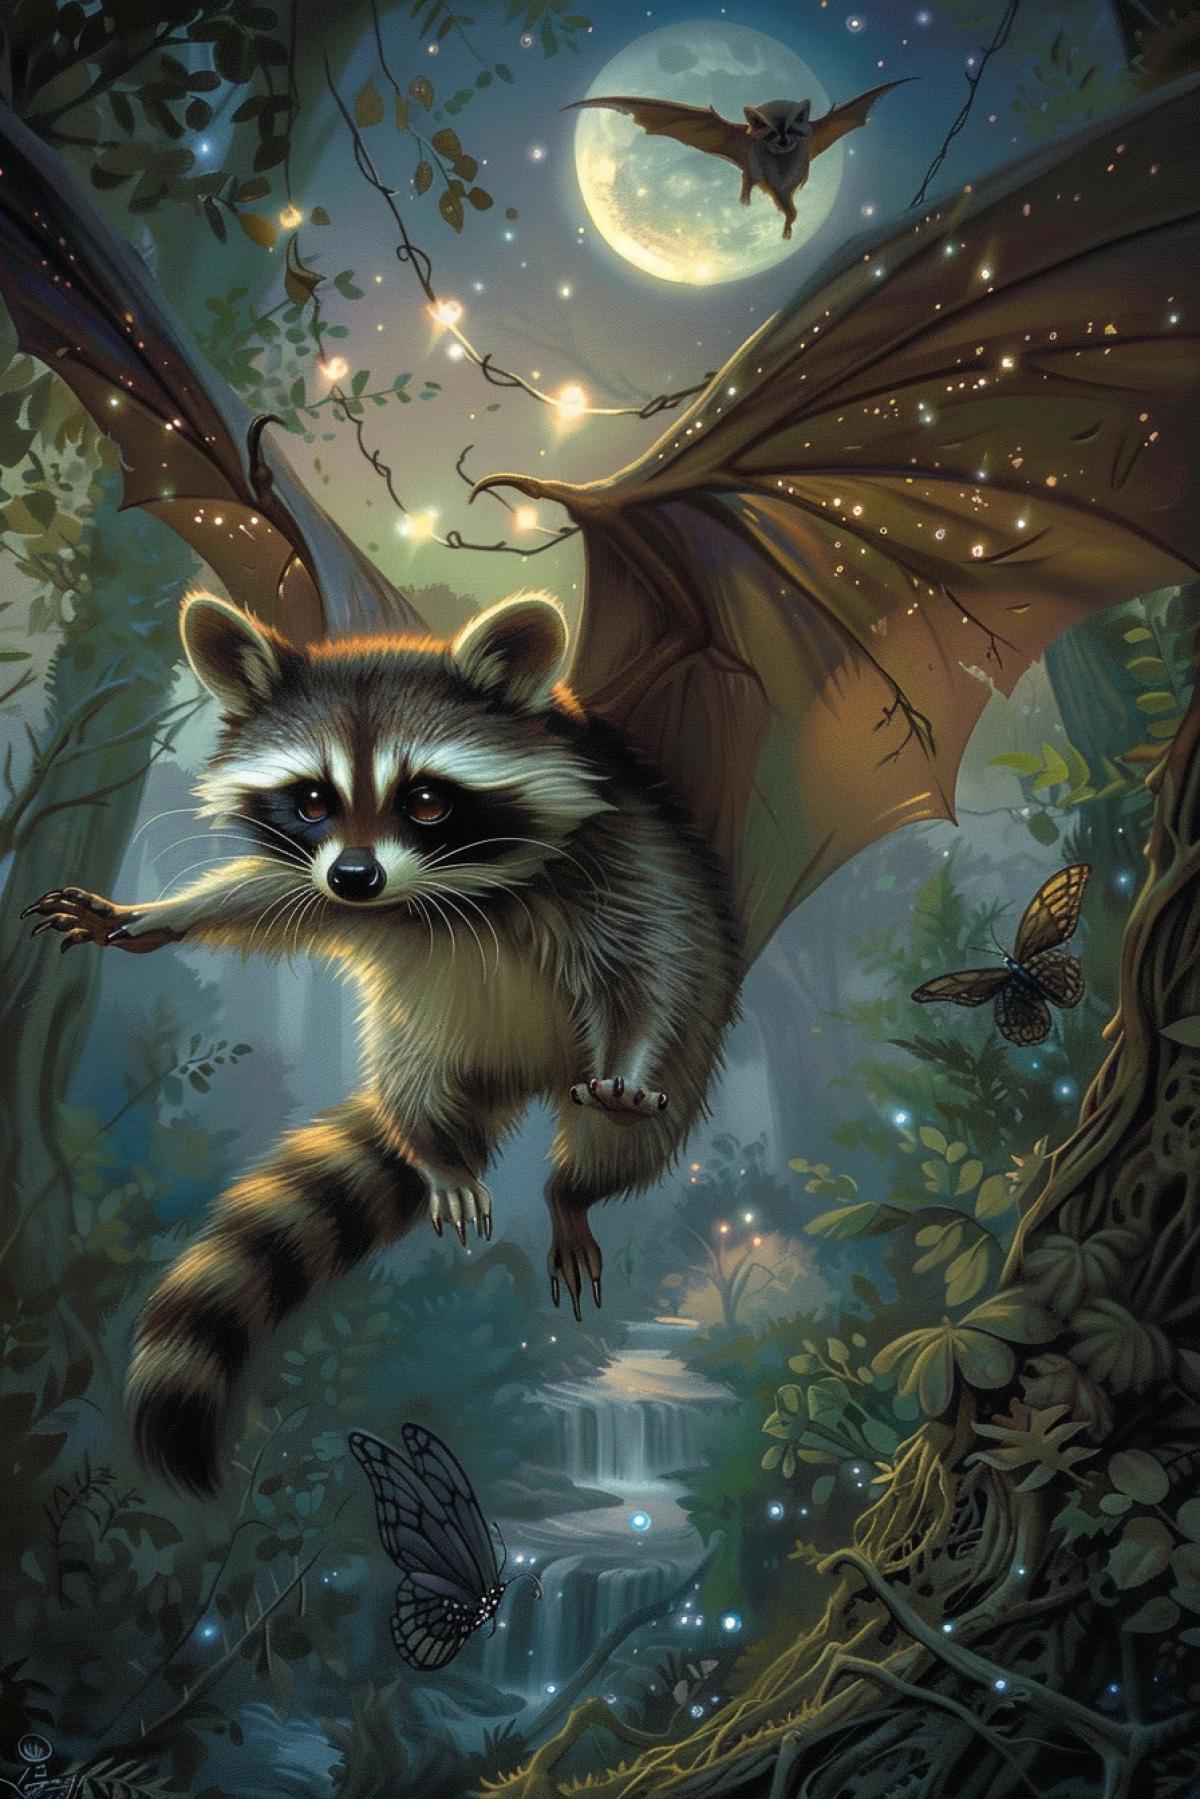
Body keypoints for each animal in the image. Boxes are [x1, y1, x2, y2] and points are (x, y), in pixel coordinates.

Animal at [24, 591, 741, 1493]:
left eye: (426, 799)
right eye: (312, 800)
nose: (355, 877)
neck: (447, 887)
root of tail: (526, 1072)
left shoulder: (620, 857)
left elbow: (653, 969)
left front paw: (629, 1065)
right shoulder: (323, 885)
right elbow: (263, 894)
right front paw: (156, 914)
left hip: (679, 1061)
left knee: (629, 1139)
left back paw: (572, 1191)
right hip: (423, 1038)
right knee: (413, 1084)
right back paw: (437, 1151)